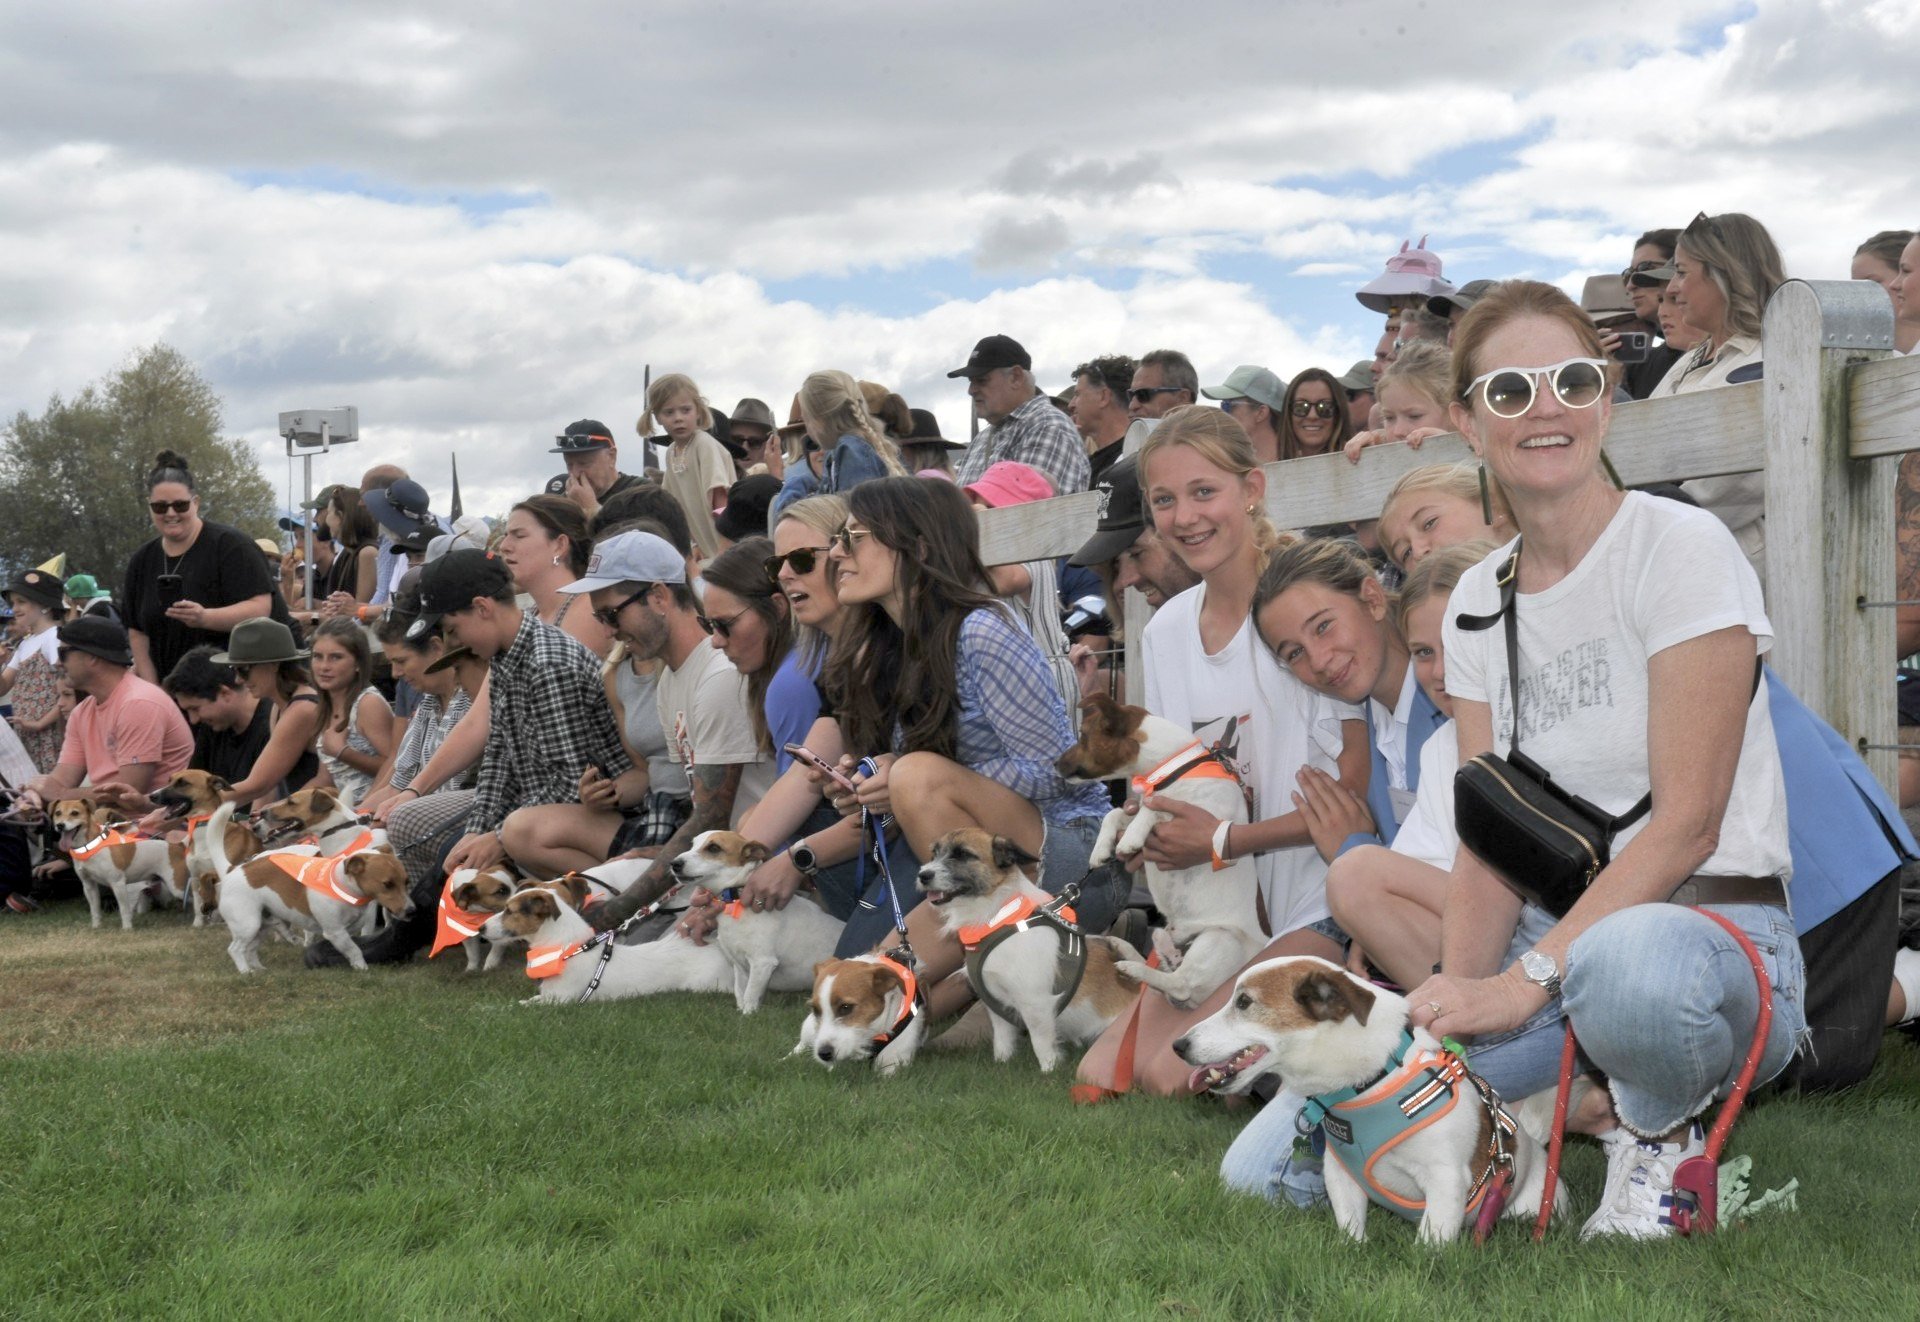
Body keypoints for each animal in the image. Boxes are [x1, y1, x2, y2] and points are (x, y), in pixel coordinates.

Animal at [208, 794, 414, 970]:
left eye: (406, 882)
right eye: (387, 884)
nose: (412, 910)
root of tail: (233, 869)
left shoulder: (351, 926)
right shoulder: (335, 931)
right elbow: (354, 949)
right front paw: (362, 968)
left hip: (260, 925)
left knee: (250, 949)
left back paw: (258, 969)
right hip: (248, 924)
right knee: (235, 949)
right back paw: (245, 972)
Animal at [672, 828, 844, 1013]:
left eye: (714, 848)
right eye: (692, 844)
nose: (674, 863)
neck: (736, 903)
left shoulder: (762, 962)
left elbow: (750, 996)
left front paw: (748, 1014)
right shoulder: (739, 966)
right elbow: (740, 992)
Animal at [1059, 694, 1267, 1005]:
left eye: (1083, 735)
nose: (1053, 764)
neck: (1170, 770)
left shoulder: (1205, 818)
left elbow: (1153, 808)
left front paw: (1132, 837)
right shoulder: (1131, 810)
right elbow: (1116, 814)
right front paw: (1101, 849)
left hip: (1219, 938)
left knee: (1179, 983)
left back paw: (1133, 967)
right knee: (1164, 969)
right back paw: (1129, 948)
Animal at [1167, 955, 1559, 1243]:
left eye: (1244, 1002)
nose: (1178, 1045)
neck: (1371, 1080)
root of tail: (1534, 1144)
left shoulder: (1445, 1180)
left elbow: (1431, 1244)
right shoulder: (1339, 1174)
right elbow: (1350, 1227)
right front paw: (1352, 1248)